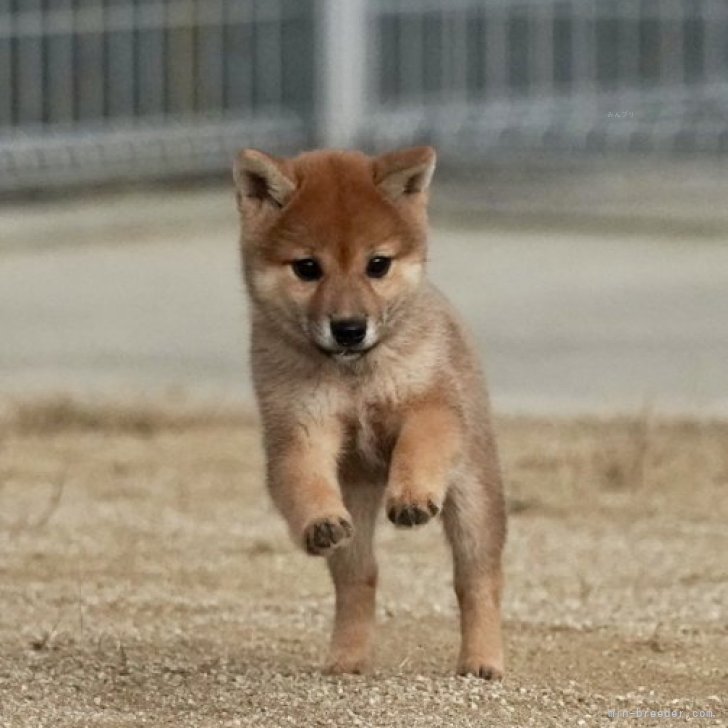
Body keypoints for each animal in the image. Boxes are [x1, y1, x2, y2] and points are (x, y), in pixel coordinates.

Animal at [233, 145, 506, 680]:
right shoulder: (299, 430)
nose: (349, 328)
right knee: (359, 580)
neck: (354, 375)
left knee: (476, 581)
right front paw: (319, 519)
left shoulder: (430, 408)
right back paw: (347, 656)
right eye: (307, 268)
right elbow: (304, 482)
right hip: (356, 512)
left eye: (377, 264)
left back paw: (483, 659)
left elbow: (419, 448)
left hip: (474, 503)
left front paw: (413, 496)